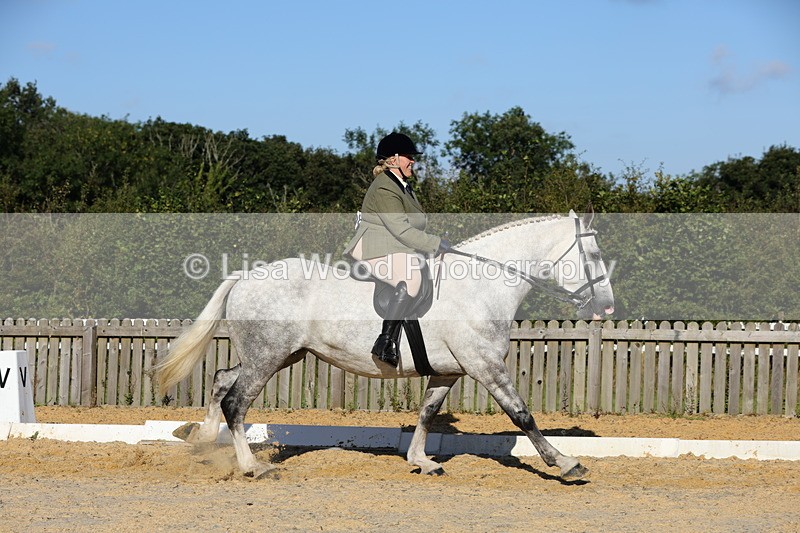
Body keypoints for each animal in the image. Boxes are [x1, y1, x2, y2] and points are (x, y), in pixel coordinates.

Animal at [158, 210, 615, 481]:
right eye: (593, 255)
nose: (606, 307)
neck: (480, 286)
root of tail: (245, 276)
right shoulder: (485, 365)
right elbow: (522, 414)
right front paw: (566, 463)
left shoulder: (449, 371)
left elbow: (427, 413)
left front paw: (421, 461)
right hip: (268, 356)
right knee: (236, 401)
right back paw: (252, 467)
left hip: (280, 354)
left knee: (222, 379)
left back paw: (202, 439)